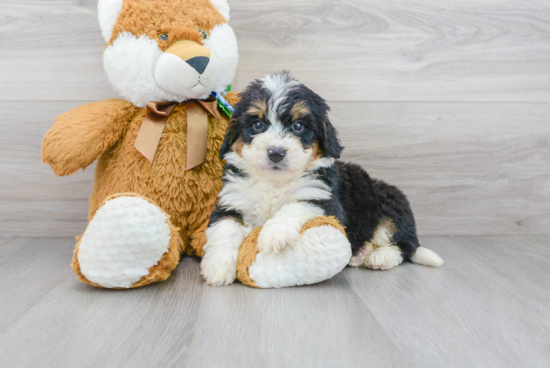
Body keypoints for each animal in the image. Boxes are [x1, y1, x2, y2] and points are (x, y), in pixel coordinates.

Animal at [199, 70, 444, 286]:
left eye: (298, 126)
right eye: (258, 124)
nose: (276, 152)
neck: (274, 181)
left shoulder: (324, 200)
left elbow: (296, 205)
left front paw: (274, 232)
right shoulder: (232, 200)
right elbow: (224, 228)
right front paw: (217, 268)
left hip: (390, 203)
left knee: (404, 245)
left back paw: (380, 257)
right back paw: (360, 254)